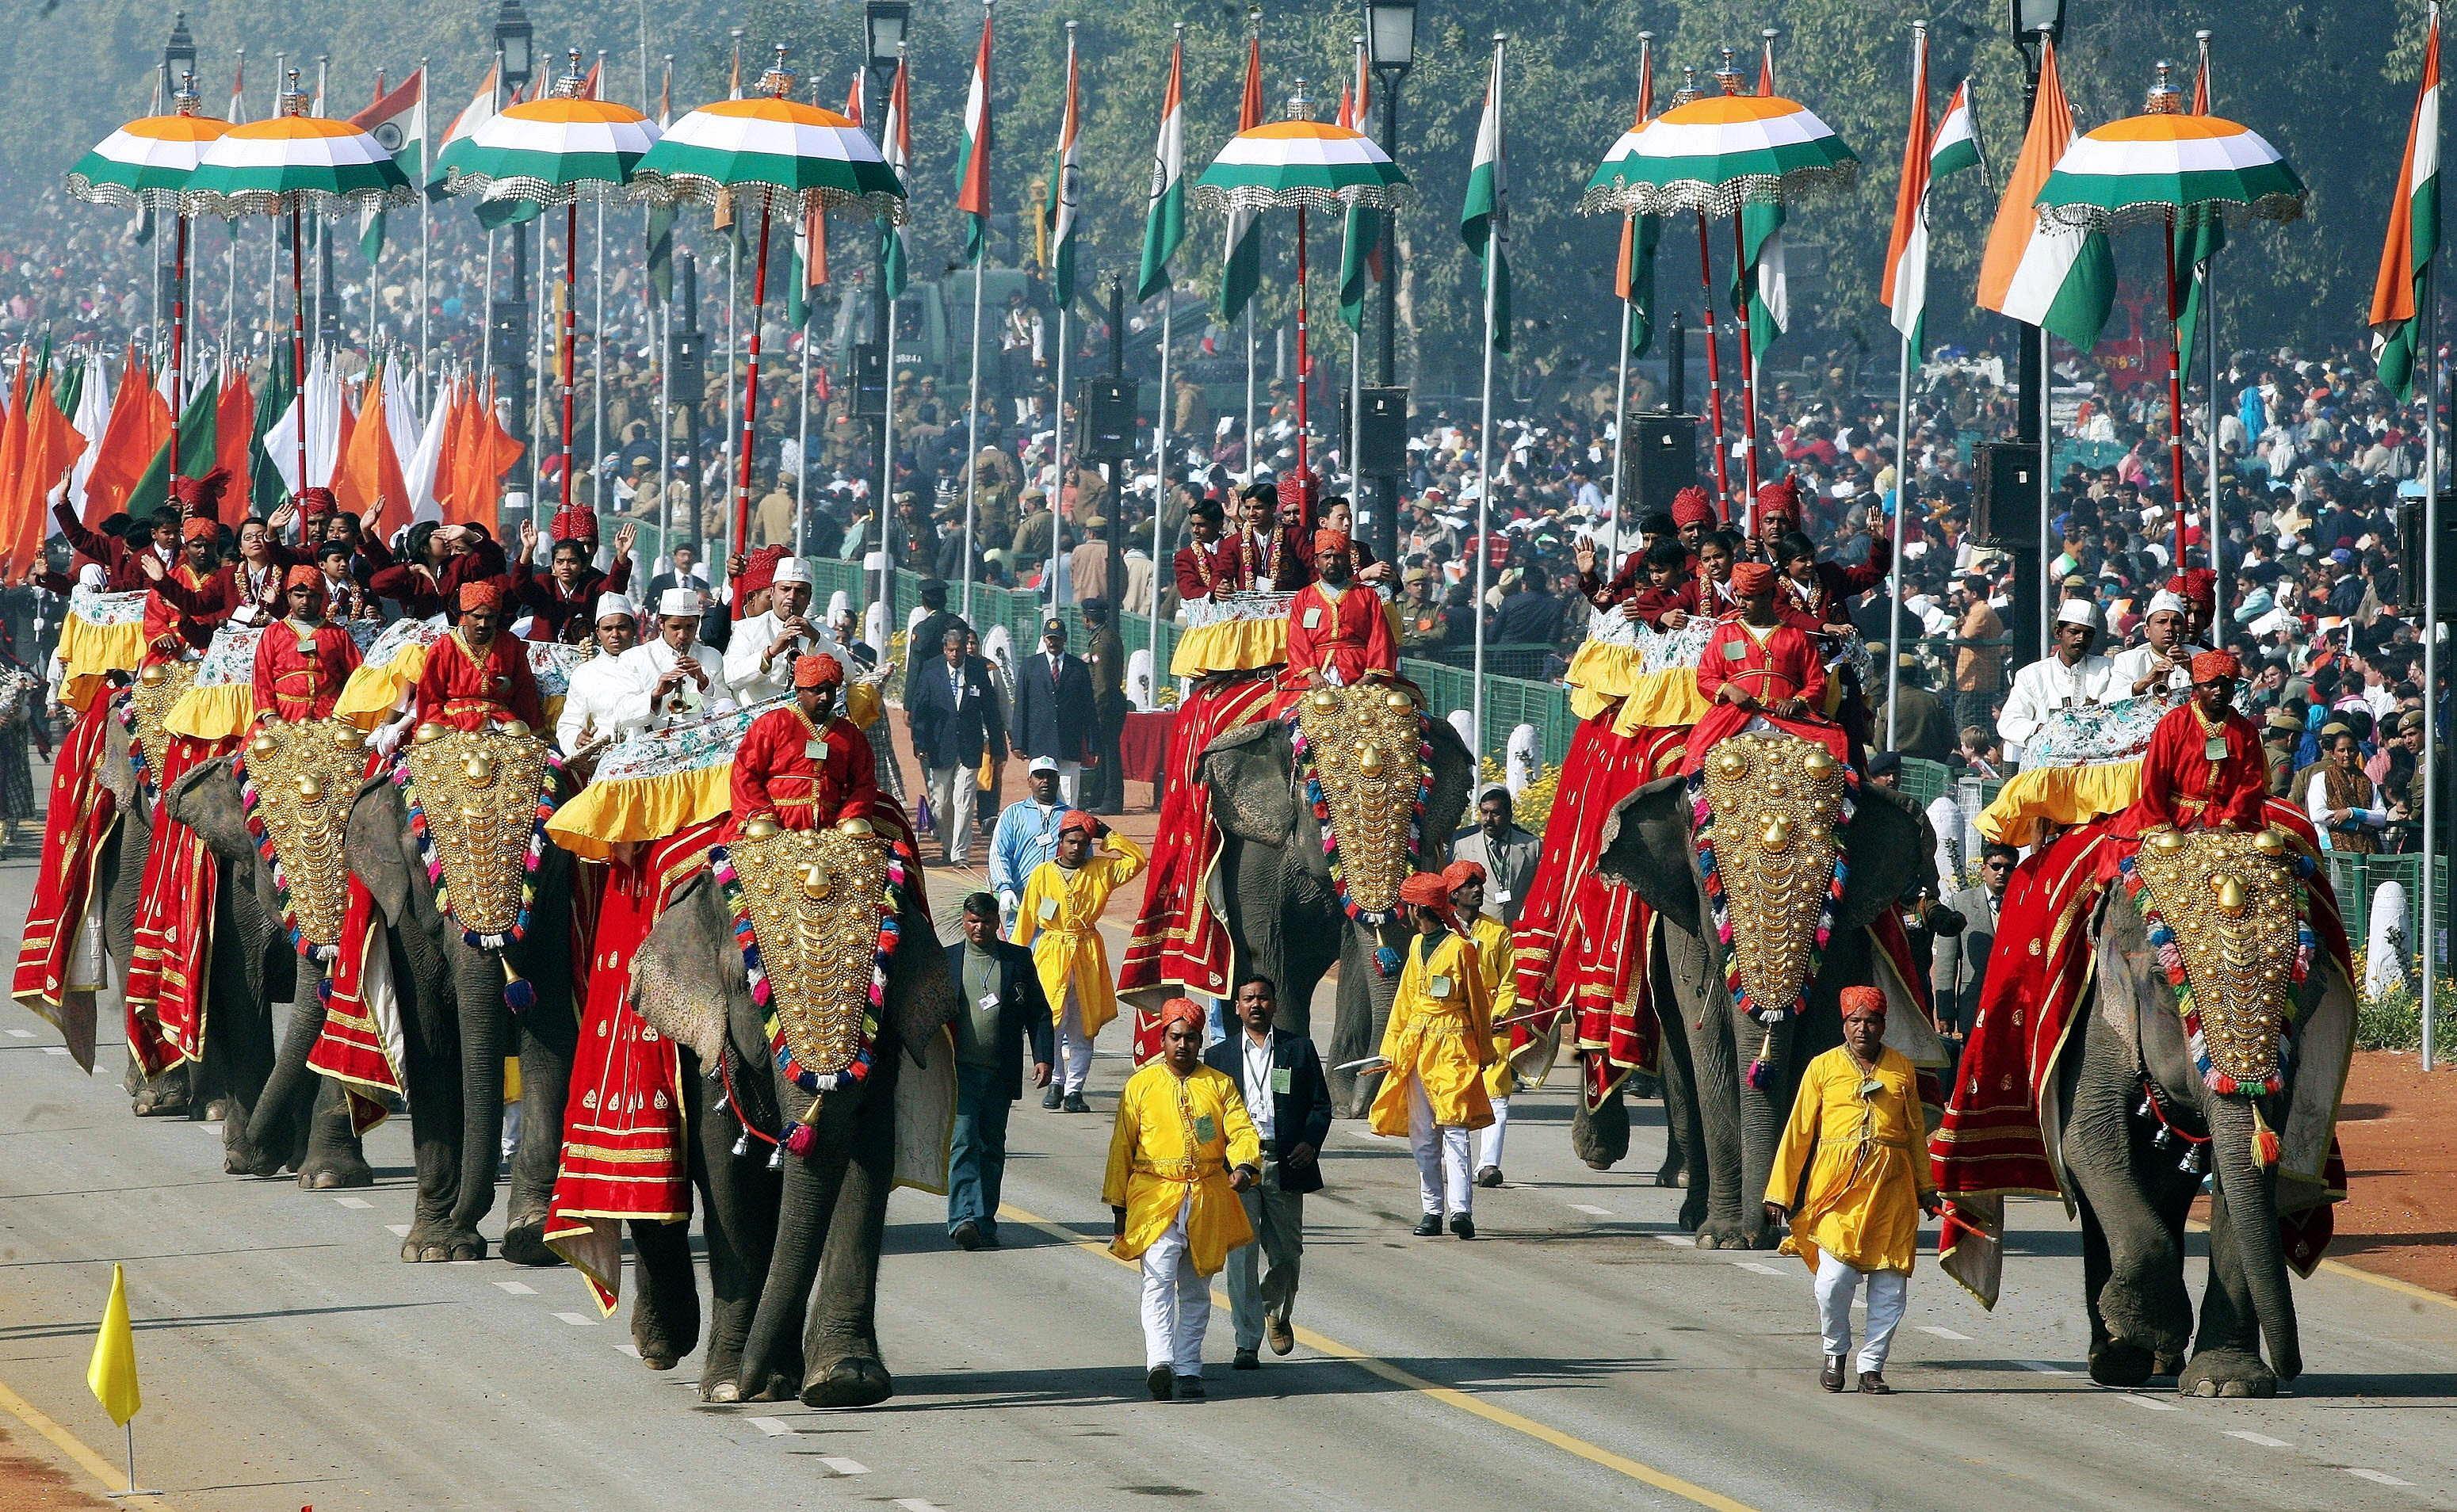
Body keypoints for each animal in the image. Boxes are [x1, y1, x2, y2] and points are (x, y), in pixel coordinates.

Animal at [346, 727, 579, 1258]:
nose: (465, 1217)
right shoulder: (406, 917)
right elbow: (429, 1041)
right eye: (423, 861)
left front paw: (531, 1240)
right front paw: (436, 1248)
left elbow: (550, 1037)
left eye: (541, 860)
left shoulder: (556, 908)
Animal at [629, 826, 963, 1406]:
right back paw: (675, 1353)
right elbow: (727, 1171)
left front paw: (844, 1383)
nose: (746, 1388)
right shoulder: (709, 1039)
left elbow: (864, 1158)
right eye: (751, 990)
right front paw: (728, 1387)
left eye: (880, 989)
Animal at [1194, 688, 1464, 1111]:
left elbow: (1356, 959)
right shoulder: (1252, 857)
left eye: (1417, 811)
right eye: (1326, 806)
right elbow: (1266, 953)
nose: (1359, 1103)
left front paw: (1342, 1098)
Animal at [1602, 737, 1946, 1249]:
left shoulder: (1846, 939)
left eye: (1832, 883)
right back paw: (1693, 1215)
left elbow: (1816, 1044)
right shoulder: (1688, 936)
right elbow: (1712, 1048)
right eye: (1710, 885)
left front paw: (1807, 1225)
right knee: (1683, 1066)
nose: (1759, 1229)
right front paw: (1723, 1239)